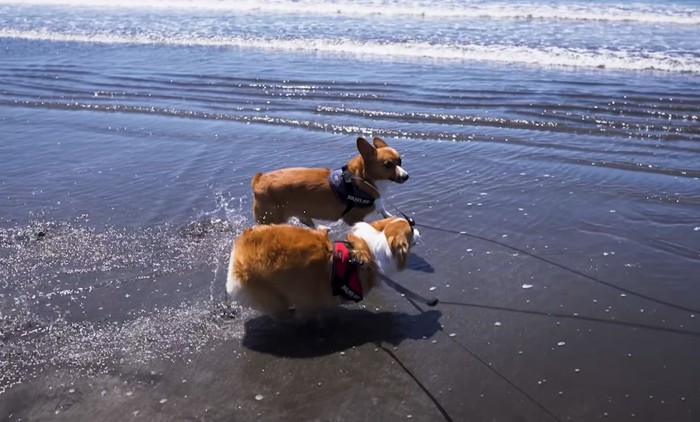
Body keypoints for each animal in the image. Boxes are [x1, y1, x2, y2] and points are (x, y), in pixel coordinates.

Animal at [252, 137, 408, 226]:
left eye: (400, 161)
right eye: (388, 164)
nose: (406, 176)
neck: (363, 179)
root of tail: (259, 180)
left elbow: (384, 211)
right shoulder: (353, 218)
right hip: (271, 218)